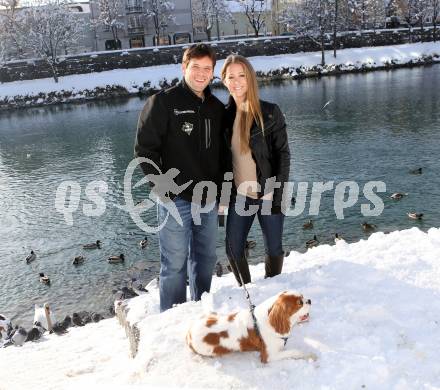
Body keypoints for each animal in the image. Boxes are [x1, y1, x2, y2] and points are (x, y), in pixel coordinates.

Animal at [186, 290, 316, 362]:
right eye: (300, 303)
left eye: (303, 297)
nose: (309, 300)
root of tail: (188, 334)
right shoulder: (268, 356)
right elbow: (295, 351)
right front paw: (310, 355)